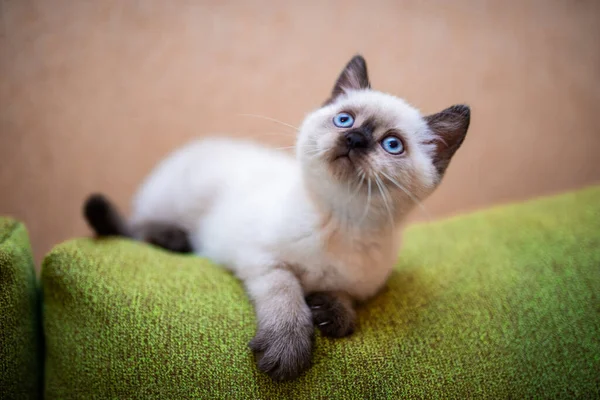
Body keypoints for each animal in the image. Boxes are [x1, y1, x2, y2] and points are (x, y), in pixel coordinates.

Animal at [84, 54, 472, 380]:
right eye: (344, 119)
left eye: (392, 145)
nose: (355, 138)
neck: (341, 220)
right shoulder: (264, 260)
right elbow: (288, 298)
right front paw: (287, 354)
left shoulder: (358, 287)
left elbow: (343, 299)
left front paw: (332, 315)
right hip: (178, 199)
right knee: (136, 226)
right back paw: (173, 238)